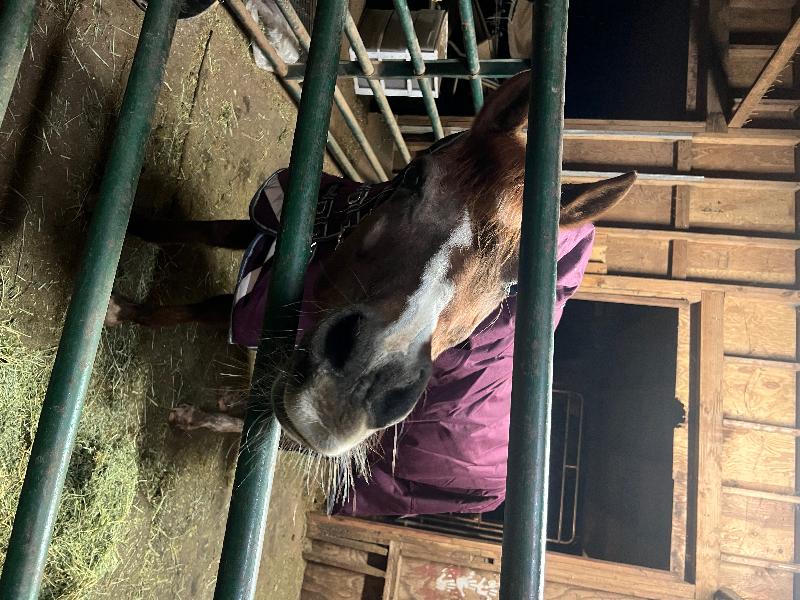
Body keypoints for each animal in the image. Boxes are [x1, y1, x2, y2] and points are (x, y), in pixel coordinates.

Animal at [104, 69, 636, 464]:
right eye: (414, 176)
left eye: (511, 285)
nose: (359, 384)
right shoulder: (261, 230)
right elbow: (201, 231)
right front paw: (130, 217)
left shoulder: (253, 307)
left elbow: (190, 310)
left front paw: (116, 310)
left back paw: (200, 416)